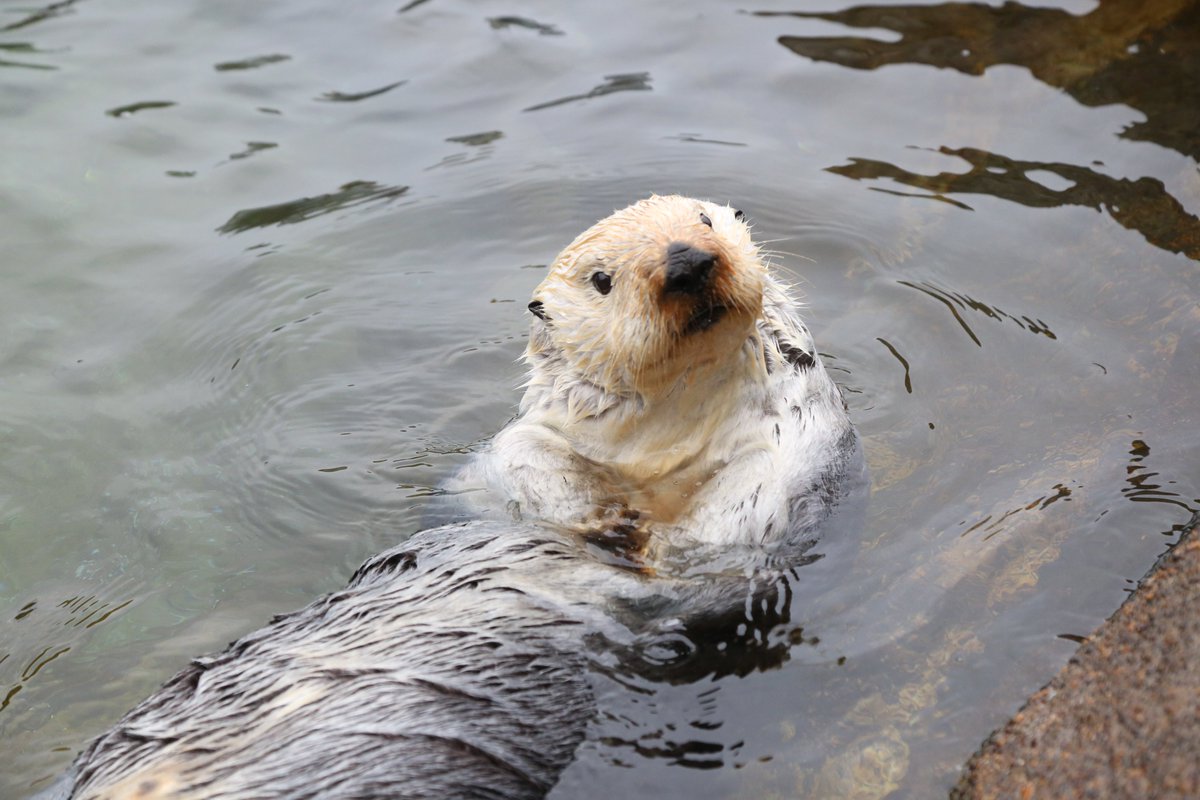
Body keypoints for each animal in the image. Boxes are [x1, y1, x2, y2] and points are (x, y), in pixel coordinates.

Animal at [39, 195, 864, 800]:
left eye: (705, 220)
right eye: (602, 278)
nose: (688, 262)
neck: (661, 447)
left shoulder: (795, 448)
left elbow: (736, 524)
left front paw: (653, 540)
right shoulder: (514, 453)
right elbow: (520, 470)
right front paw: (600, 519)